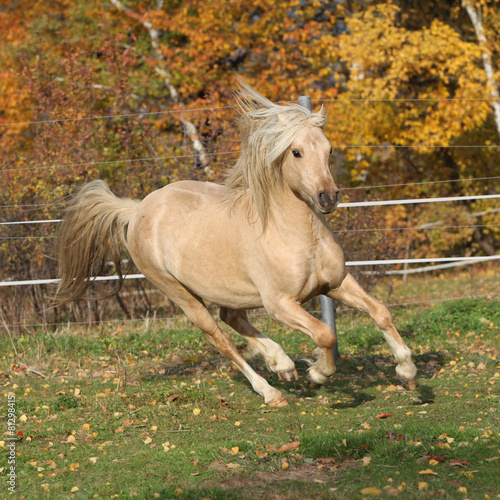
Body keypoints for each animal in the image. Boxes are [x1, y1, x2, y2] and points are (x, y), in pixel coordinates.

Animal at [54, 79, 418, 406]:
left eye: (330, 150)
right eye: (296, 152)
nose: (327, 197)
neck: (296, 236)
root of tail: (138, 209)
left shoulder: (336, 283)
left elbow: (380, 312)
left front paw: (407, 371)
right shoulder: (280, 304)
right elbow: (325, 334)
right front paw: (317, 373)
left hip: (229, 289)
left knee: (232, 318)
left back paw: (281, 364)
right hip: (182, 296)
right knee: (221, 339)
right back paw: (271, 392)